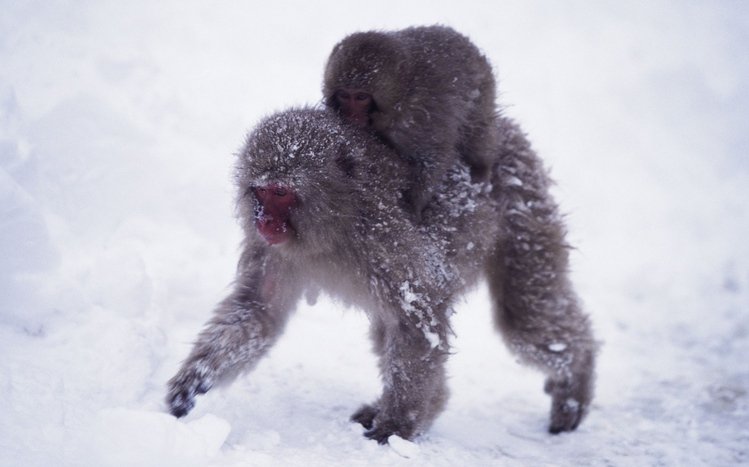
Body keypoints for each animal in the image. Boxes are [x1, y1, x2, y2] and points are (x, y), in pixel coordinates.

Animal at [166, 107, 596, 443]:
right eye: (261, 191)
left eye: (282, 193)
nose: (264, 221)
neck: (335, 222)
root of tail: (501, 125)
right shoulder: (270, 250)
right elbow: (259, 312)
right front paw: (195, 377)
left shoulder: (383, 241)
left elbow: (418, 318)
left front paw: (398, 425)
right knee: (386, 329)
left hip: (525, 209)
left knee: (525, 320)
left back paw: (575, 380)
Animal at [322, 25, 499, 220]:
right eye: (344, 95)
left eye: (361, 97)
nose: (351, 114)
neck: (401, 95)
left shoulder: (417, 121)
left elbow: (433, 158)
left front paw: (414, 206)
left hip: (483, 92)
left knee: (478, 135)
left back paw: (481, 168)